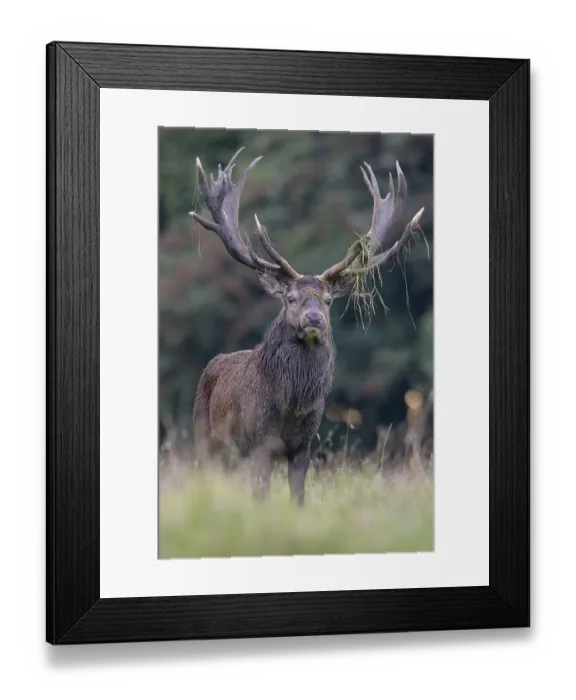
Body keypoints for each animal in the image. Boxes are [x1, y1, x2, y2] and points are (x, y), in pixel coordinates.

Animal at [189, 147, 424, 506]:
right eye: (290, 298)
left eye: (328, 300)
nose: (314, 320)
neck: (291, 407)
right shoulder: (259, 443)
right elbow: (262, 497)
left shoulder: (304, 446)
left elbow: (298, 500)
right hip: (205, 438)